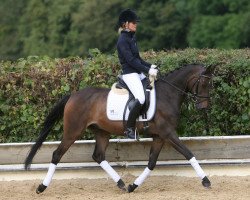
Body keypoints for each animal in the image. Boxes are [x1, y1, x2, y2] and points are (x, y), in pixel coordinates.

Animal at [23, 63, 215, 193]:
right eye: (204, 83)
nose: (204, 107)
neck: (167, 95)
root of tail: (73, 95)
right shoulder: (167, 133)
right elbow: (188, 153)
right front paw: (206, 181)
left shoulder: (160, 136)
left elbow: (151, 163)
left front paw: (133, 186)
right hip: (73, 132)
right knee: (57, 154)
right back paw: (41, 187)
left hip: (102, 132)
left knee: (98, 156)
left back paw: (121, 183)